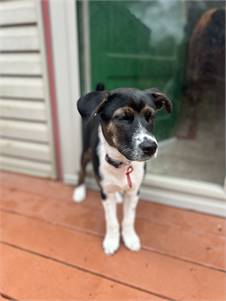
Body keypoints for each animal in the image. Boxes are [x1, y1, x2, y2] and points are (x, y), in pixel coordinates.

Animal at [73, 85, 172, 254]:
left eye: (150, 117)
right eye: (123, 118)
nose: (151, 147)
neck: (122, 163)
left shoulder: (134, 191)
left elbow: (128, 218)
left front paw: (130, 238)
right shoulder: (105, 192)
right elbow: (112, 221)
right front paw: (112, 241)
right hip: (85, 152)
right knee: (82, 170)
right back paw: (79, 191)